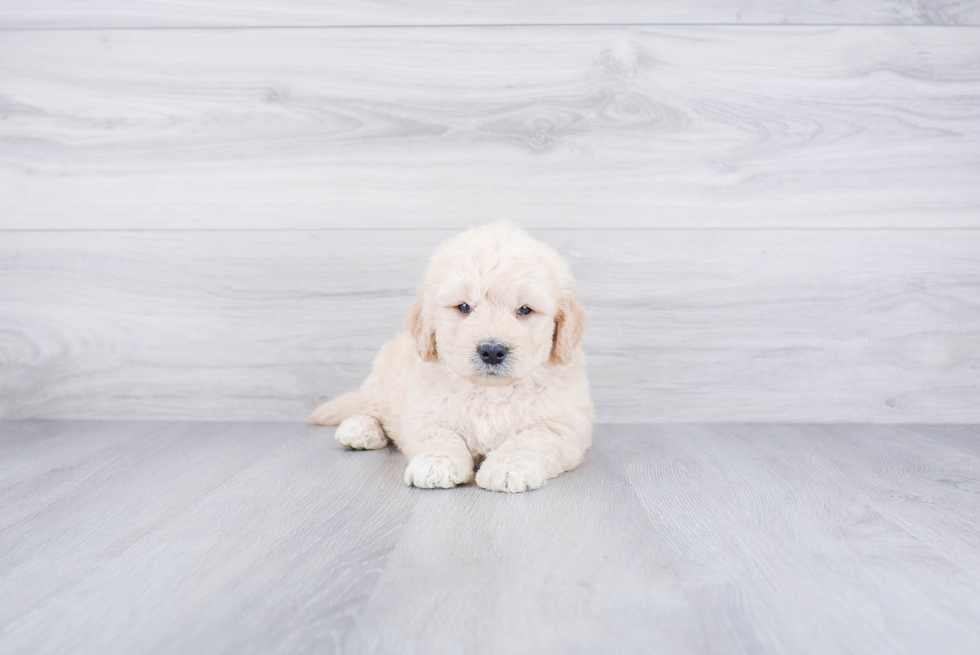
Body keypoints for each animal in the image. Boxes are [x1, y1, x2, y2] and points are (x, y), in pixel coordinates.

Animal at [310, 222, 592, 492]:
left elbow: (532, 439)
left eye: (524, 309)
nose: (492, 351)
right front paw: (436, 464)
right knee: (369, 406)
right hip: (381, 380)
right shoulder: (424, 411)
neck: (491, 392)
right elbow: (440, 435)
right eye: (464, 307)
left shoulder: (566, 424)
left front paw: (509, 467)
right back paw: (360, 429)